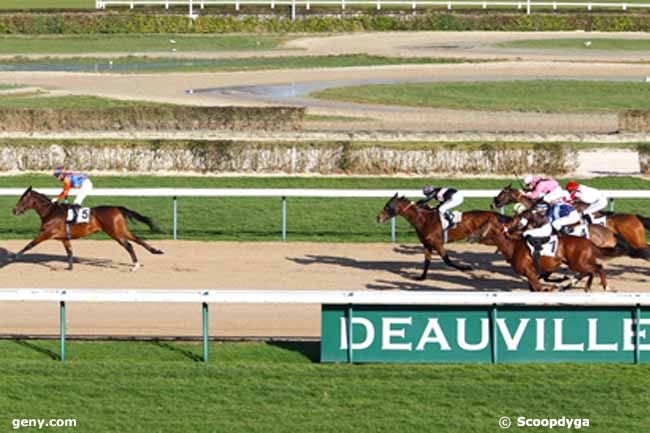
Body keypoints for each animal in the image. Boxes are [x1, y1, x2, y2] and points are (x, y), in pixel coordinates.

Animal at [10, 186, 163, 270]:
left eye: (23, 199)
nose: (14, 210)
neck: (50, 212)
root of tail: (117, 208)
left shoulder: (46, 233)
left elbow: (29, 245)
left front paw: (14, 256)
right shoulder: (64, 237)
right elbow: (69, 252)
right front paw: (70, 267)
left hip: (114, 232)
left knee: (129, 245)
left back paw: (135, 265)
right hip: (121, 230)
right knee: (138, 239)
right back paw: (156, 251)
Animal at [378, 193, 508, 280]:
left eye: (388, 206)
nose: (378, 217)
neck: (424, 220)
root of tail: (494, 214)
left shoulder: (438, 243)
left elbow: (447, 261)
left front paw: (466, 268)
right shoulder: (427, 245)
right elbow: (427, 261)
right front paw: (422, 277)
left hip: (488, 237)